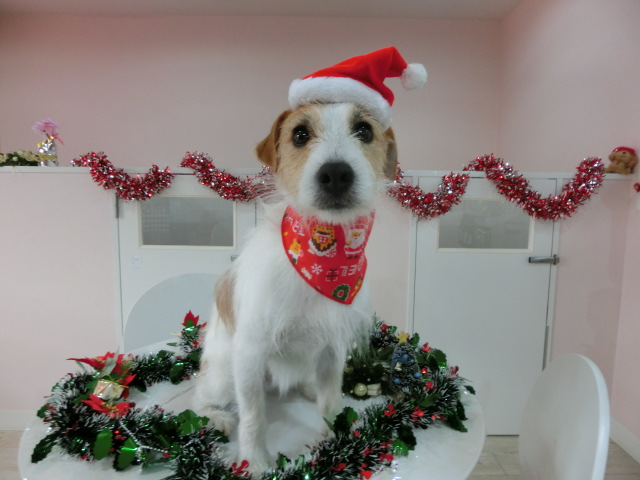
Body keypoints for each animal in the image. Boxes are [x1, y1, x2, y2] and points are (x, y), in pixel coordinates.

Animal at [193, 101, 397, 472]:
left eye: (364, 130)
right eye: (299, 134)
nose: (336, 174)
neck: (323, 262)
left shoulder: (332, 350)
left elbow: (330, 401)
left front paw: (335, 440)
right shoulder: (249, 352)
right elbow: (253, 417)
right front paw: (256, 463)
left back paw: (308, 387)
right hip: (223, 374)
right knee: (200, 394)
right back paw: (215, 416)